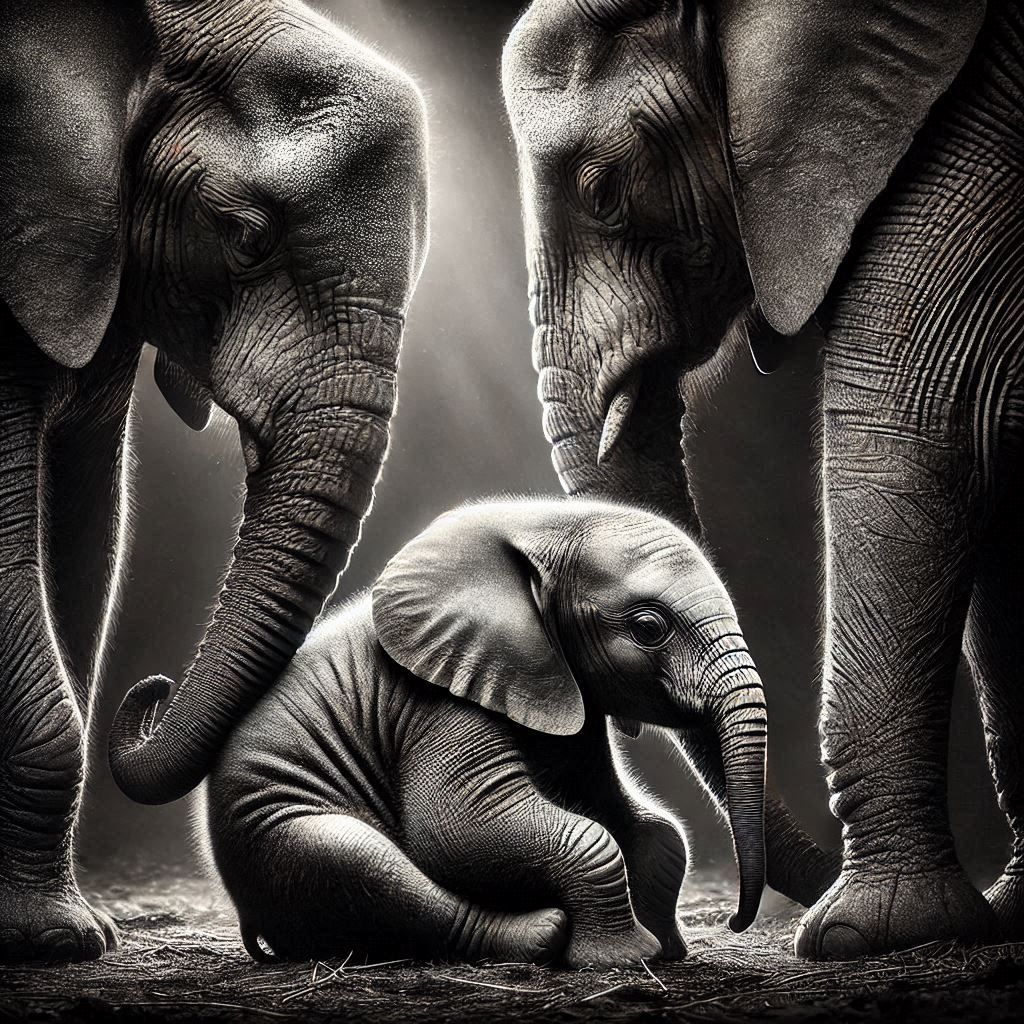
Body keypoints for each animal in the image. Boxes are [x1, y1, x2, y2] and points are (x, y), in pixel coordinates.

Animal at [202, 496, 769, 966]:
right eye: (650, 628)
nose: (735, 921)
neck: (537, 522)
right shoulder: (437, 698)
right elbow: (457, 827)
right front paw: (625, 960)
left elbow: (638, 821)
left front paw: (666, 952)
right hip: (275, 833)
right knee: (362, 866)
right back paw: (541, 935)